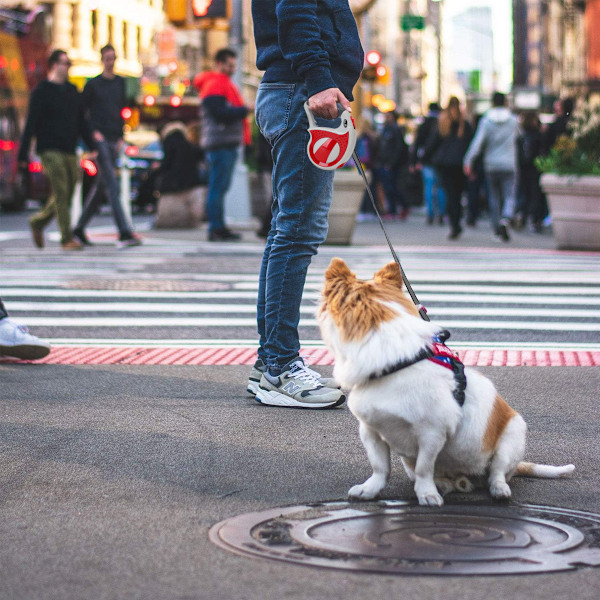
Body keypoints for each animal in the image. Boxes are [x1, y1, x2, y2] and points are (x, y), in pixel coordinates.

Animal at [316, 258, 576, 506]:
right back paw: (446, 484)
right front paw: (370, 490)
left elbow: (424, 467)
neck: (397, 363)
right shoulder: (370, 430)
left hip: (511, 436)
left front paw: (427, 495)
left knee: (497, 472)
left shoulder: (432, 433)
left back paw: (497, 489)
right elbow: (380, 467)